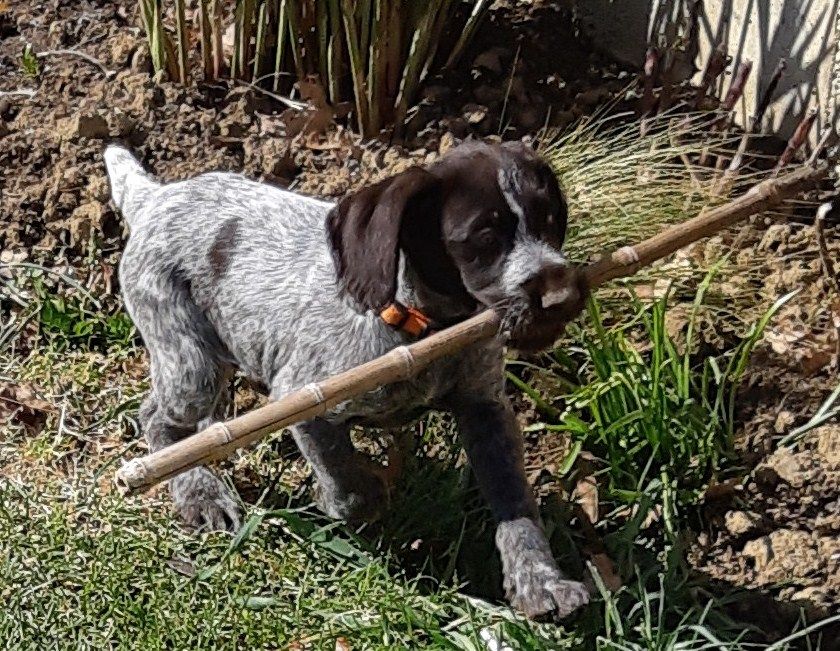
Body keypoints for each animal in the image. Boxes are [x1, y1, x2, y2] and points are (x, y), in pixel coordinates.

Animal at [105, 140, 592, 620]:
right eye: (484, 239)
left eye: (550, 220)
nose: (563, 295)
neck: (426, 327)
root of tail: (155, 197)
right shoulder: (303, 399)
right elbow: (350, 485)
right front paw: (353, 494)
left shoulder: (485, 410)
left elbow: (516, 504)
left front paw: (540, 581)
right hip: (190, 366)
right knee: (157, 417)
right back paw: (199, 492)